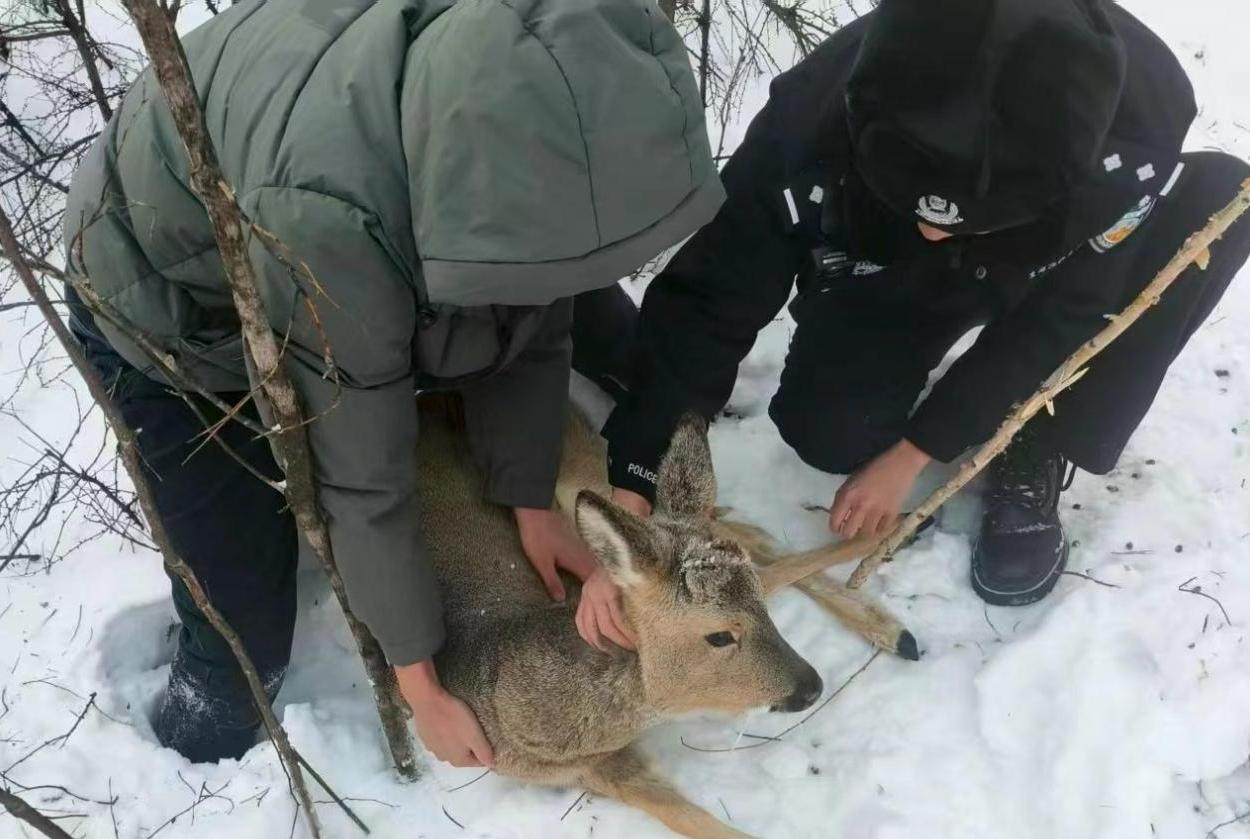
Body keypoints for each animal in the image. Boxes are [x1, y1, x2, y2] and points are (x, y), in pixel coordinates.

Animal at [404, 394, 915, 838]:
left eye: (764, 615)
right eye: (719, 636)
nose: (812, 687)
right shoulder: (594, 769)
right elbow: (690, 819)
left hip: (583, 482)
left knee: (744, 538)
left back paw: (895, 544)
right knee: (750, 538)